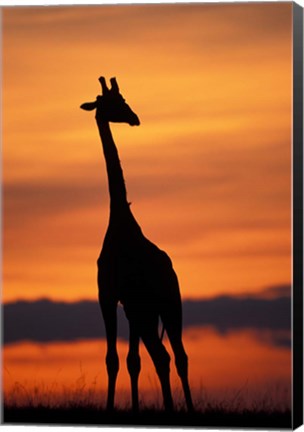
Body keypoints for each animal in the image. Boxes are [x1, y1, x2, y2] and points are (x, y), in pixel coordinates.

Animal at [81, 77, 194, 412]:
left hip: (162, 304)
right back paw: (179, 408)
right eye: (113, 102)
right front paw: (125, 407)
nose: (135, 117)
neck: (120, 220)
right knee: (169, 356)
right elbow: (126, 360)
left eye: (123, 99)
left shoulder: (114, 297)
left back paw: (178, 409)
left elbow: (119, 359)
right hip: (155, 307)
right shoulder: (120, 301)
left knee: (171, 355)